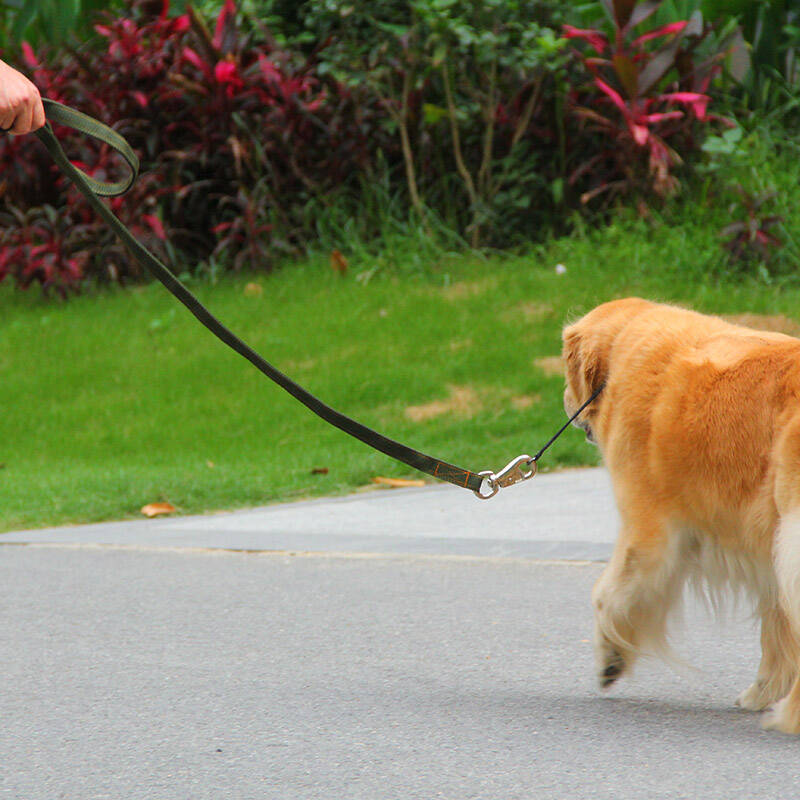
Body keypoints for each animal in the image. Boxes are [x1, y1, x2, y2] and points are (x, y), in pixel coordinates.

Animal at [564, 298, 800, 732]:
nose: (566, 402)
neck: (624, 346)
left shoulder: (650, 532)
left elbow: (609, 593)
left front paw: (610, 658)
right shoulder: (766, 547)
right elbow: (776, 626)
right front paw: (763, 691)